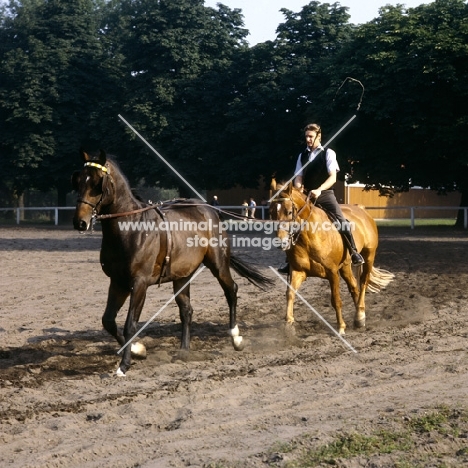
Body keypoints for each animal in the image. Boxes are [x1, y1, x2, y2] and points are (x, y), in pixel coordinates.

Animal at [71, 150, 272, 376]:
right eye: (79, 180)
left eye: (98, 183)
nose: (80, 222)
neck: (131, 229)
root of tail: (209, 209)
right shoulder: (118, 282)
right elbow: (108, 321)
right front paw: (139, 350)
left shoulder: (139, 283)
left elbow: (130, 324)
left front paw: (125, 364)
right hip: (182, 276)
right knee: (186, 310)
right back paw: (184, 350)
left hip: (218, 264)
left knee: (231, 290)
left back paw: (236, 337)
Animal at [268, 180, 394, 336]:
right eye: (271, 212)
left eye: (289, 211)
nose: (281, 242)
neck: (309, 236)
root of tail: (361, 209)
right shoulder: (298, 271)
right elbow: (290, 294)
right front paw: (289, 324)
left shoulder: (332, 273)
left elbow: (335, 300)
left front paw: (341, 327)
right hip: (345, 266)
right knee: (354, 287)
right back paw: (359, 317)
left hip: (369, 256)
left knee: (363, 282)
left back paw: (359, 315)